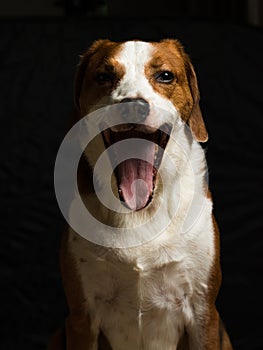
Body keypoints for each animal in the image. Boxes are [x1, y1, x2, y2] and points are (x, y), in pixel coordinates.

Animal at [49, 39, 233, 350]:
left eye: (165, 76)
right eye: (104, 76)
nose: (133, 106)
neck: (140, 211)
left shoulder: (203, 312)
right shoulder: (81, 317)